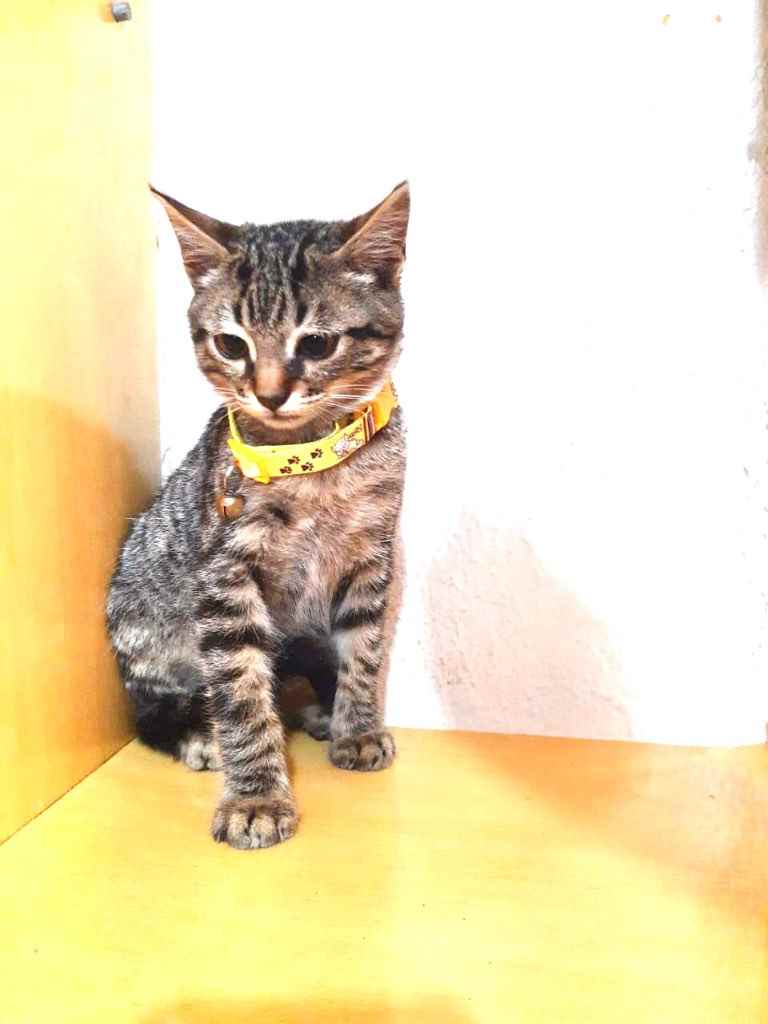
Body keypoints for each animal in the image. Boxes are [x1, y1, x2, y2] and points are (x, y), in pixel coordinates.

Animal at [106, 182, 409, 850]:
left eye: (317, 344)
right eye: (231, 344)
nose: (269, 394)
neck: (309, 464)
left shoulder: (370, 557)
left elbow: (364, 649)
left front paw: (356, 728)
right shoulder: (225, 576)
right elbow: (242, 692)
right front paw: (257, 798)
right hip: (142, 627)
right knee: (154, 709)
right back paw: (199, 735)